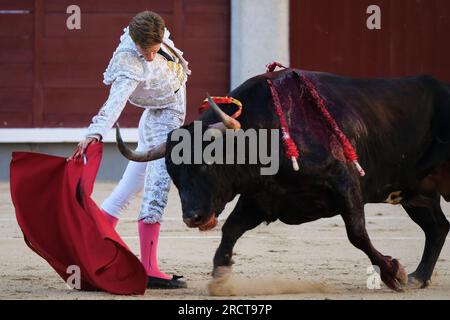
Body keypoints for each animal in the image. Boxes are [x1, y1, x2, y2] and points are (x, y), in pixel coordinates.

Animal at [117, 69, 450, 292]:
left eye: (207, 165)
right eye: (173, 174)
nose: (192, 218)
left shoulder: (346, 183)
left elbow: (357, 234)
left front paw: (394, 272)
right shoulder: (262, 199)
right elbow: (231, 229)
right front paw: (221, 277)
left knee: (435, 227)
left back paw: (413, 276)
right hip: (417, 194)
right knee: (437, 227)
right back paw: (420, 277)